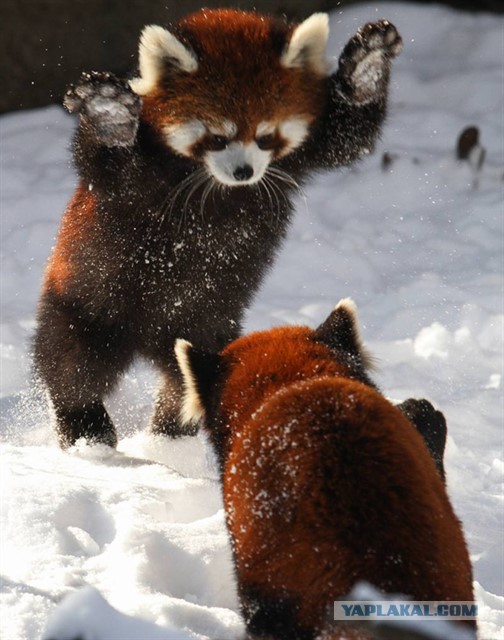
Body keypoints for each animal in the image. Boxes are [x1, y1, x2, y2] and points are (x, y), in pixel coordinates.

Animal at [32, 11, 402, 450]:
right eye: (218, 137)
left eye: (265, 136)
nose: (244, 172)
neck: (216, 185)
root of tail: (147, 340)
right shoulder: (137, 178)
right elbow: (106, 164)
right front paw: (111, 116)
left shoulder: (304, 150)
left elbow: (350, 137)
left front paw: (366, 65)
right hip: (89, 302)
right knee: (72, 365)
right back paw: (87, 431)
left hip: (208, 326)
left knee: (187, 380)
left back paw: (171, 435)